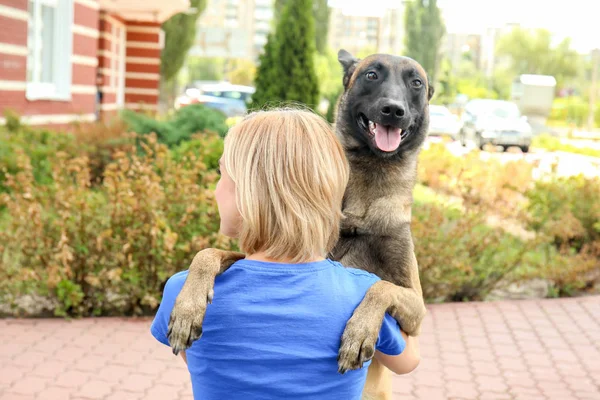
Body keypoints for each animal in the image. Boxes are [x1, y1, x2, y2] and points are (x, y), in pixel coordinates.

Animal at [166, 50, 434, 400]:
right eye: (372, 75)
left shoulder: (416, 307)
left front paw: (358, 332)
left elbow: (380, 286)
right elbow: (207, 252)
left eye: (416, 82)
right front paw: (188, 308)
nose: (393, 109)